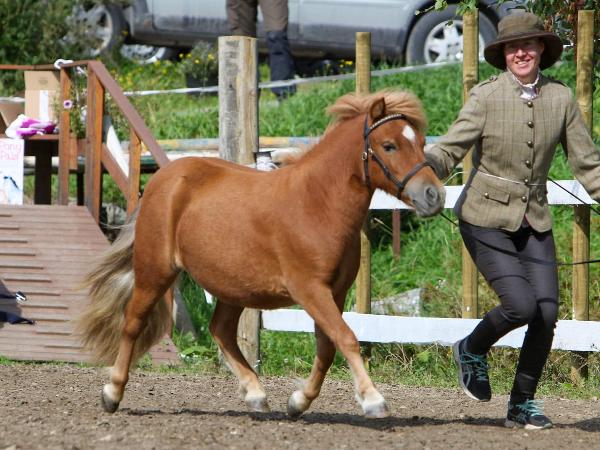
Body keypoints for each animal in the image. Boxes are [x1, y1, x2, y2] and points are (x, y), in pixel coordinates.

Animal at [77, 89, 445, 419]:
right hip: (155, 271)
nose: (434, 196)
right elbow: (347, 338)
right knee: (133, 323)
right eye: (389, 145)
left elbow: (327, 348)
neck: (318, 204)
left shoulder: (335, 293)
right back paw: (112, 393)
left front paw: (298, 402)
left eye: (420, 143)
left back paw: (255, 394)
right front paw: (372, 400)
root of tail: (162, 180)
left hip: (233, 285)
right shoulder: (310, 290)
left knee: (221, 330)